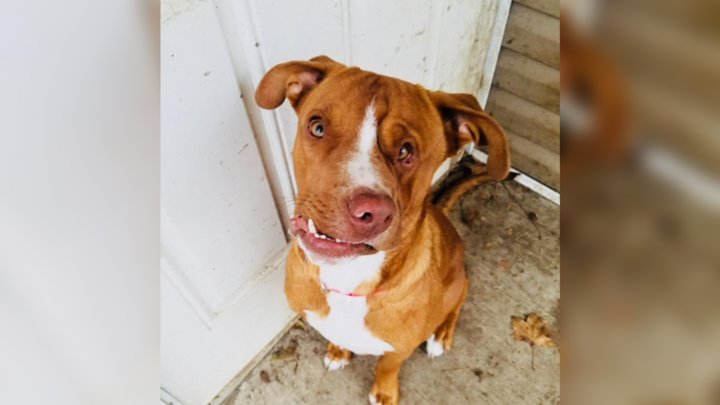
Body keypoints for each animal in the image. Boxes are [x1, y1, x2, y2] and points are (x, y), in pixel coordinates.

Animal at [256, 55, 510, 402]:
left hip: (457, 283)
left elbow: (387, 366)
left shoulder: (399, 347)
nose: (370, 212)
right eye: (317, 127)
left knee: (460, 298)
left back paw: (442, 333)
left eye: (406, 150)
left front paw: (384, 392)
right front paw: (338, 351)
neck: (349, 281)